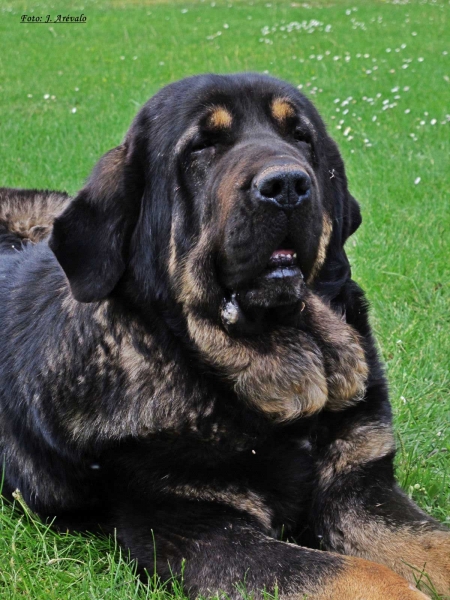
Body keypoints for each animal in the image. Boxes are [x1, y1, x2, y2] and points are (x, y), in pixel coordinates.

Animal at [0, 72, 450, 596]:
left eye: (301, 137)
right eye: (202, 146)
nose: (287, 184)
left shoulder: (360, 490)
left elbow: (435, 545)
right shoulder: (196, 525)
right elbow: (364, 574)